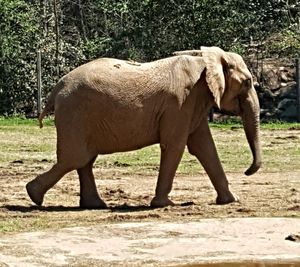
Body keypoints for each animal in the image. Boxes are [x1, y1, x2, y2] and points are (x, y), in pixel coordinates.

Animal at [25, 46, 262, 209]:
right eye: (248, 82)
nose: (247, 171)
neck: (205, 59)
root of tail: (56, 88)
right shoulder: (180, 104)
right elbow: (175, 146)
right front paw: (164, 204)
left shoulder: (193, 105)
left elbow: (205, 148)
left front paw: (231, 200)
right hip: (75, 115)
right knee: (74, 159)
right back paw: (34, 196)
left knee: (84, 159)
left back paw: (93, 205)